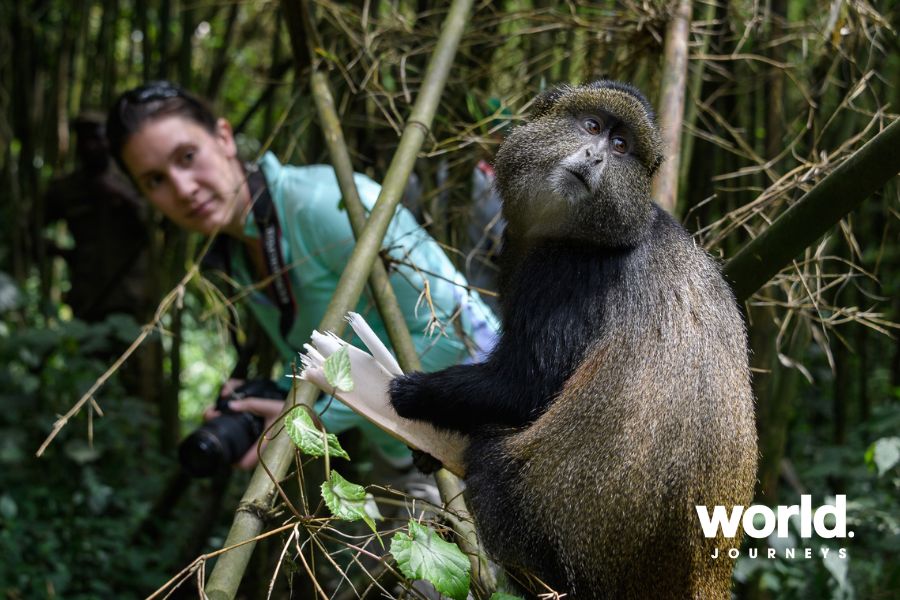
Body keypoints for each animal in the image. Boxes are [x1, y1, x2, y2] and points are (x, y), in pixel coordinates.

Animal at [389, 81, 757, 599]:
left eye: (621, 146)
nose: (596, 156)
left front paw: (413, 395)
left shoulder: (567, 274)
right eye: (592, 126)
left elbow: (526, 387)